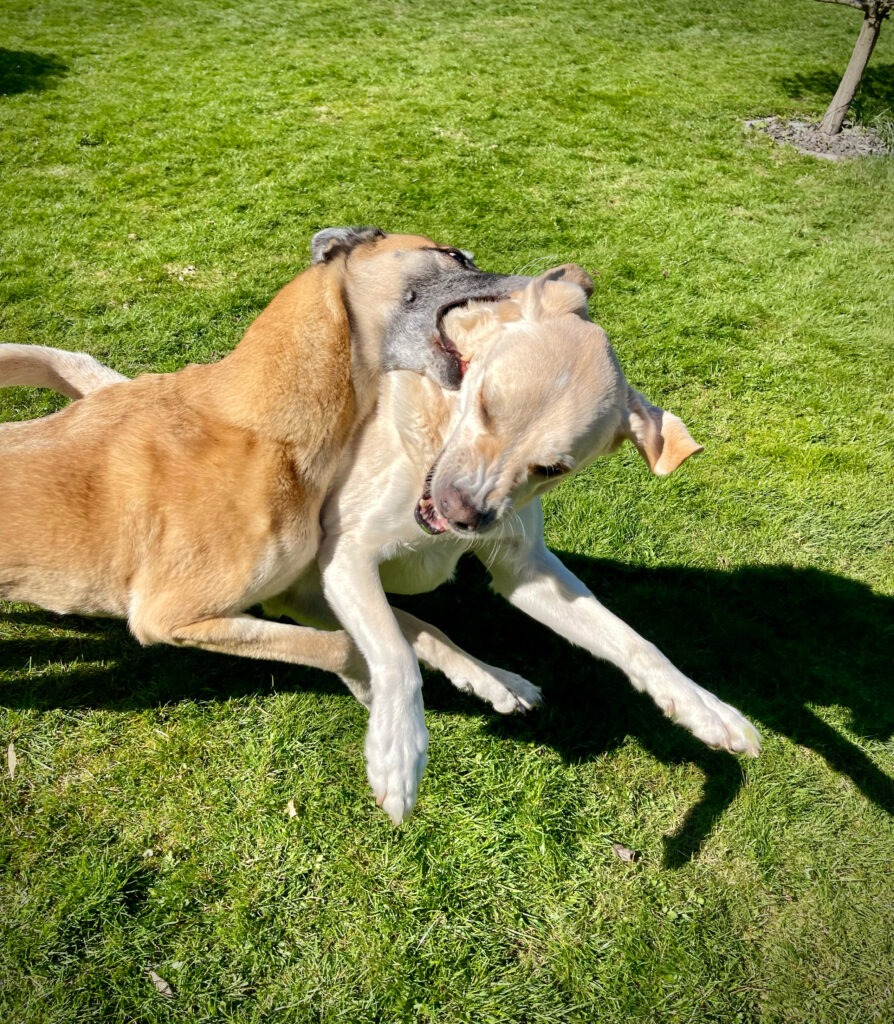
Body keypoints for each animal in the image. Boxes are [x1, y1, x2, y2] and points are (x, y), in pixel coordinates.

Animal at [5, 268, 761, 819]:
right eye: (483, 402)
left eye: (553, 467)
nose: (461, 514)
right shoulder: (341, 561)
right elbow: (394, 653)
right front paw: (399, 751)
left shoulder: (521, 566)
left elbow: (634, 642)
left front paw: (710, 713)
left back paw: (495, 678)